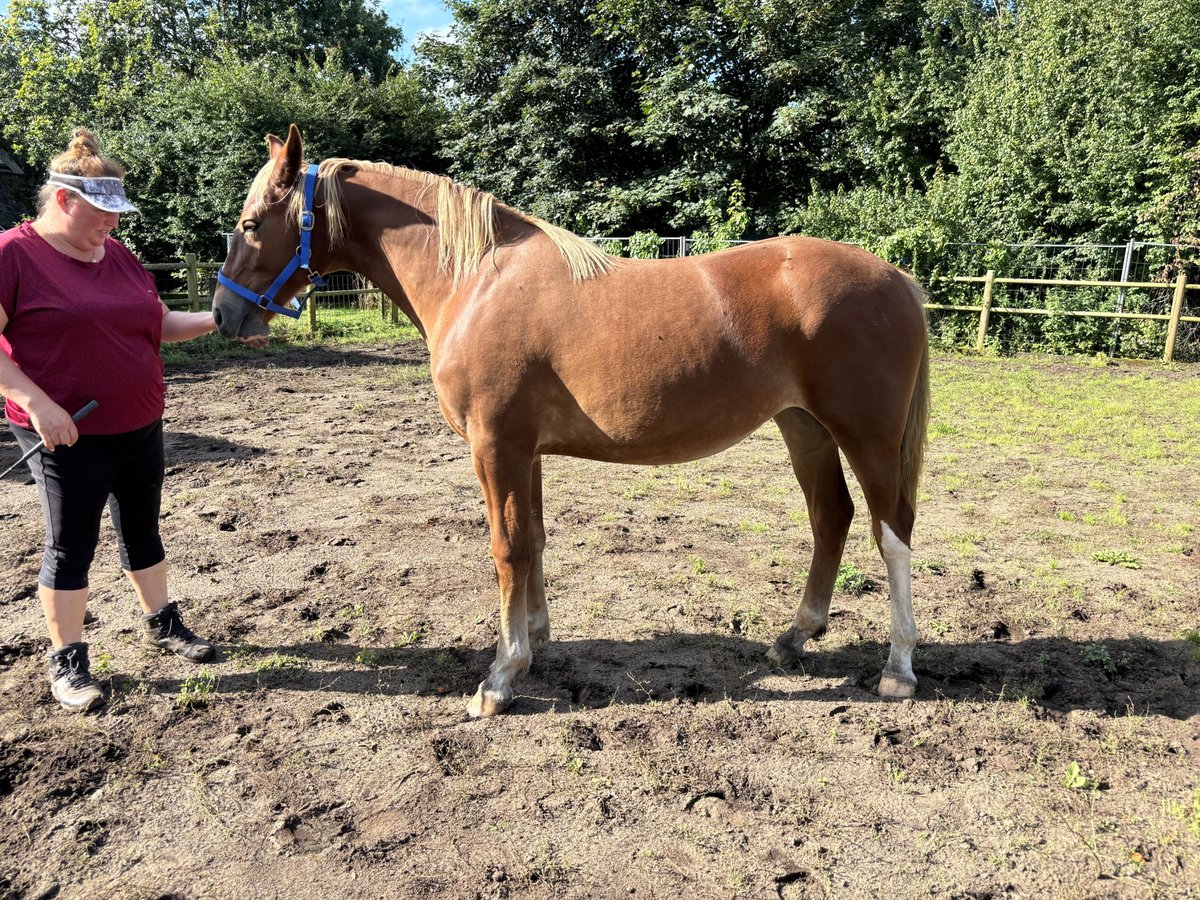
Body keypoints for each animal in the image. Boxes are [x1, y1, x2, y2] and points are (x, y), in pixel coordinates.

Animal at [211, 127, 931, 720]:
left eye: (252, 223)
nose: (222, 314)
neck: (478, 282)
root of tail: (897, 277)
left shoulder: (496, 446)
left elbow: (507, 547)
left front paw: (501, 677)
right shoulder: (523, 451)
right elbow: (532, 539)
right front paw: (535, 640)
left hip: (865, 436)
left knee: (891, 531)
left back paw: (898, 668)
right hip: (802, 426)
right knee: (831, 517)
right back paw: (795, 636)